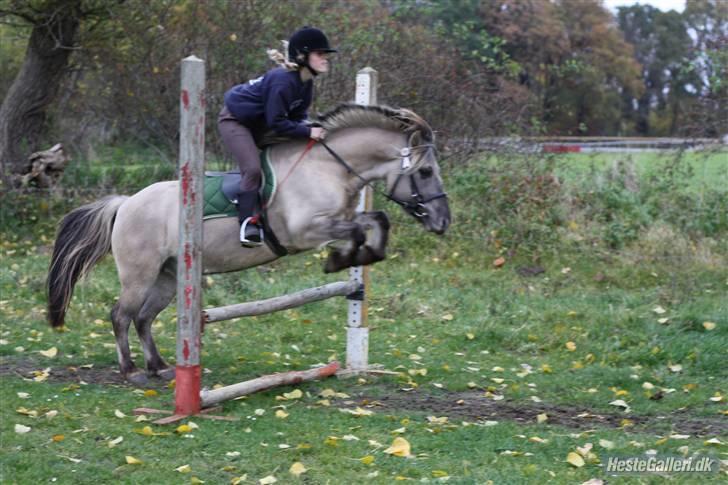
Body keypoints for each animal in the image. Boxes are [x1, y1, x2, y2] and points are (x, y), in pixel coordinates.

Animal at [47, 104, 450, 384]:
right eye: (426, 171)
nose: (443, 221)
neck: (328, 167)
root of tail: (126, 202)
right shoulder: (306, 231)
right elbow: (358, 229)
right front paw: (340, 260)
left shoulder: (337, 219)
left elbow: (375, 220)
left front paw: (362, 259)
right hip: (139, 274)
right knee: (121, 315)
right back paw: (131, 370)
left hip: (167, 276)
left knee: (144, 318)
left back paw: (160, 366)